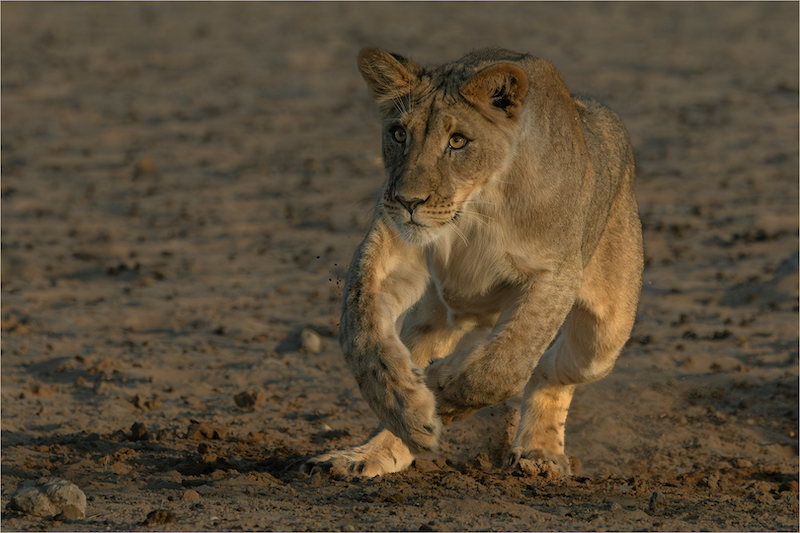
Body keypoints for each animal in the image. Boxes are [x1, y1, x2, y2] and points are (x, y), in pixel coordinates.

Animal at [306, 48, 643, 478]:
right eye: (399, 134)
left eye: (458, 141)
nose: (408, 201)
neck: (477, 203)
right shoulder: (395, 243)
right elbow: (362, 327)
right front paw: (408, 408)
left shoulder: (555, 274)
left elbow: (503, 366)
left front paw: (441, 390)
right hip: (434, 314)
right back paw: (371, 452)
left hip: (603, 336)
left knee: (549, 369)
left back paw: (538, 452)